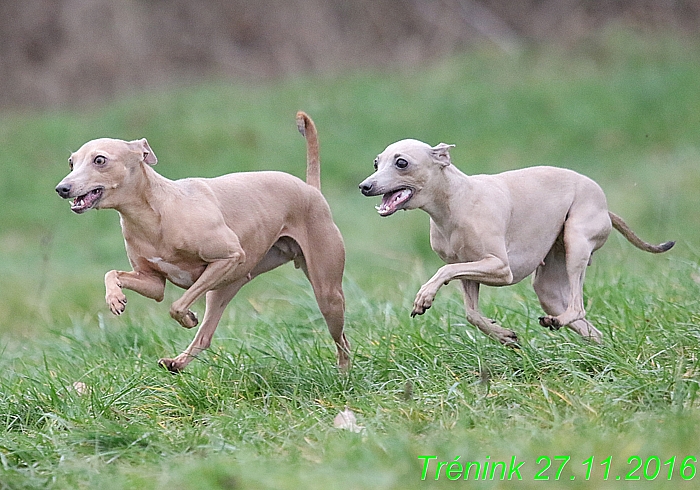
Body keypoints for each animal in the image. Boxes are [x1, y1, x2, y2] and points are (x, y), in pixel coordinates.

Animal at [56, 112, 350, 372]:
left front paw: (187, 318)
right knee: (205, 336)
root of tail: (310, 189)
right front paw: (115, 298)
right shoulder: (153, 282)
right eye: (71, 162)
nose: (62, 188)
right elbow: (114, 274)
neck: (155, 214)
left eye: (100, 159)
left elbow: (177, 305)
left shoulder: (230, 257)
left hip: (326, 293)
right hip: (223, 288)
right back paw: (176, 362)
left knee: (342, 340)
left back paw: (343, 376)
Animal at [358, 138, 676, 344]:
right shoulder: (469, 271)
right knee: (587, 326)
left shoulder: (500, 269)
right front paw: (503, 335)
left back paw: (560, 323)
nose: (365, 186)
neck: (455, 201)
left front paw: (425, 295)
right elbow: (471, 313)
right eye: (376, 162)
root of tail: (606, 208)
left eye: (401, 162)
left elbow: (444, 271)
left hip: (575, 243)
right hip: (549, 288)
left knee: (577, 306)